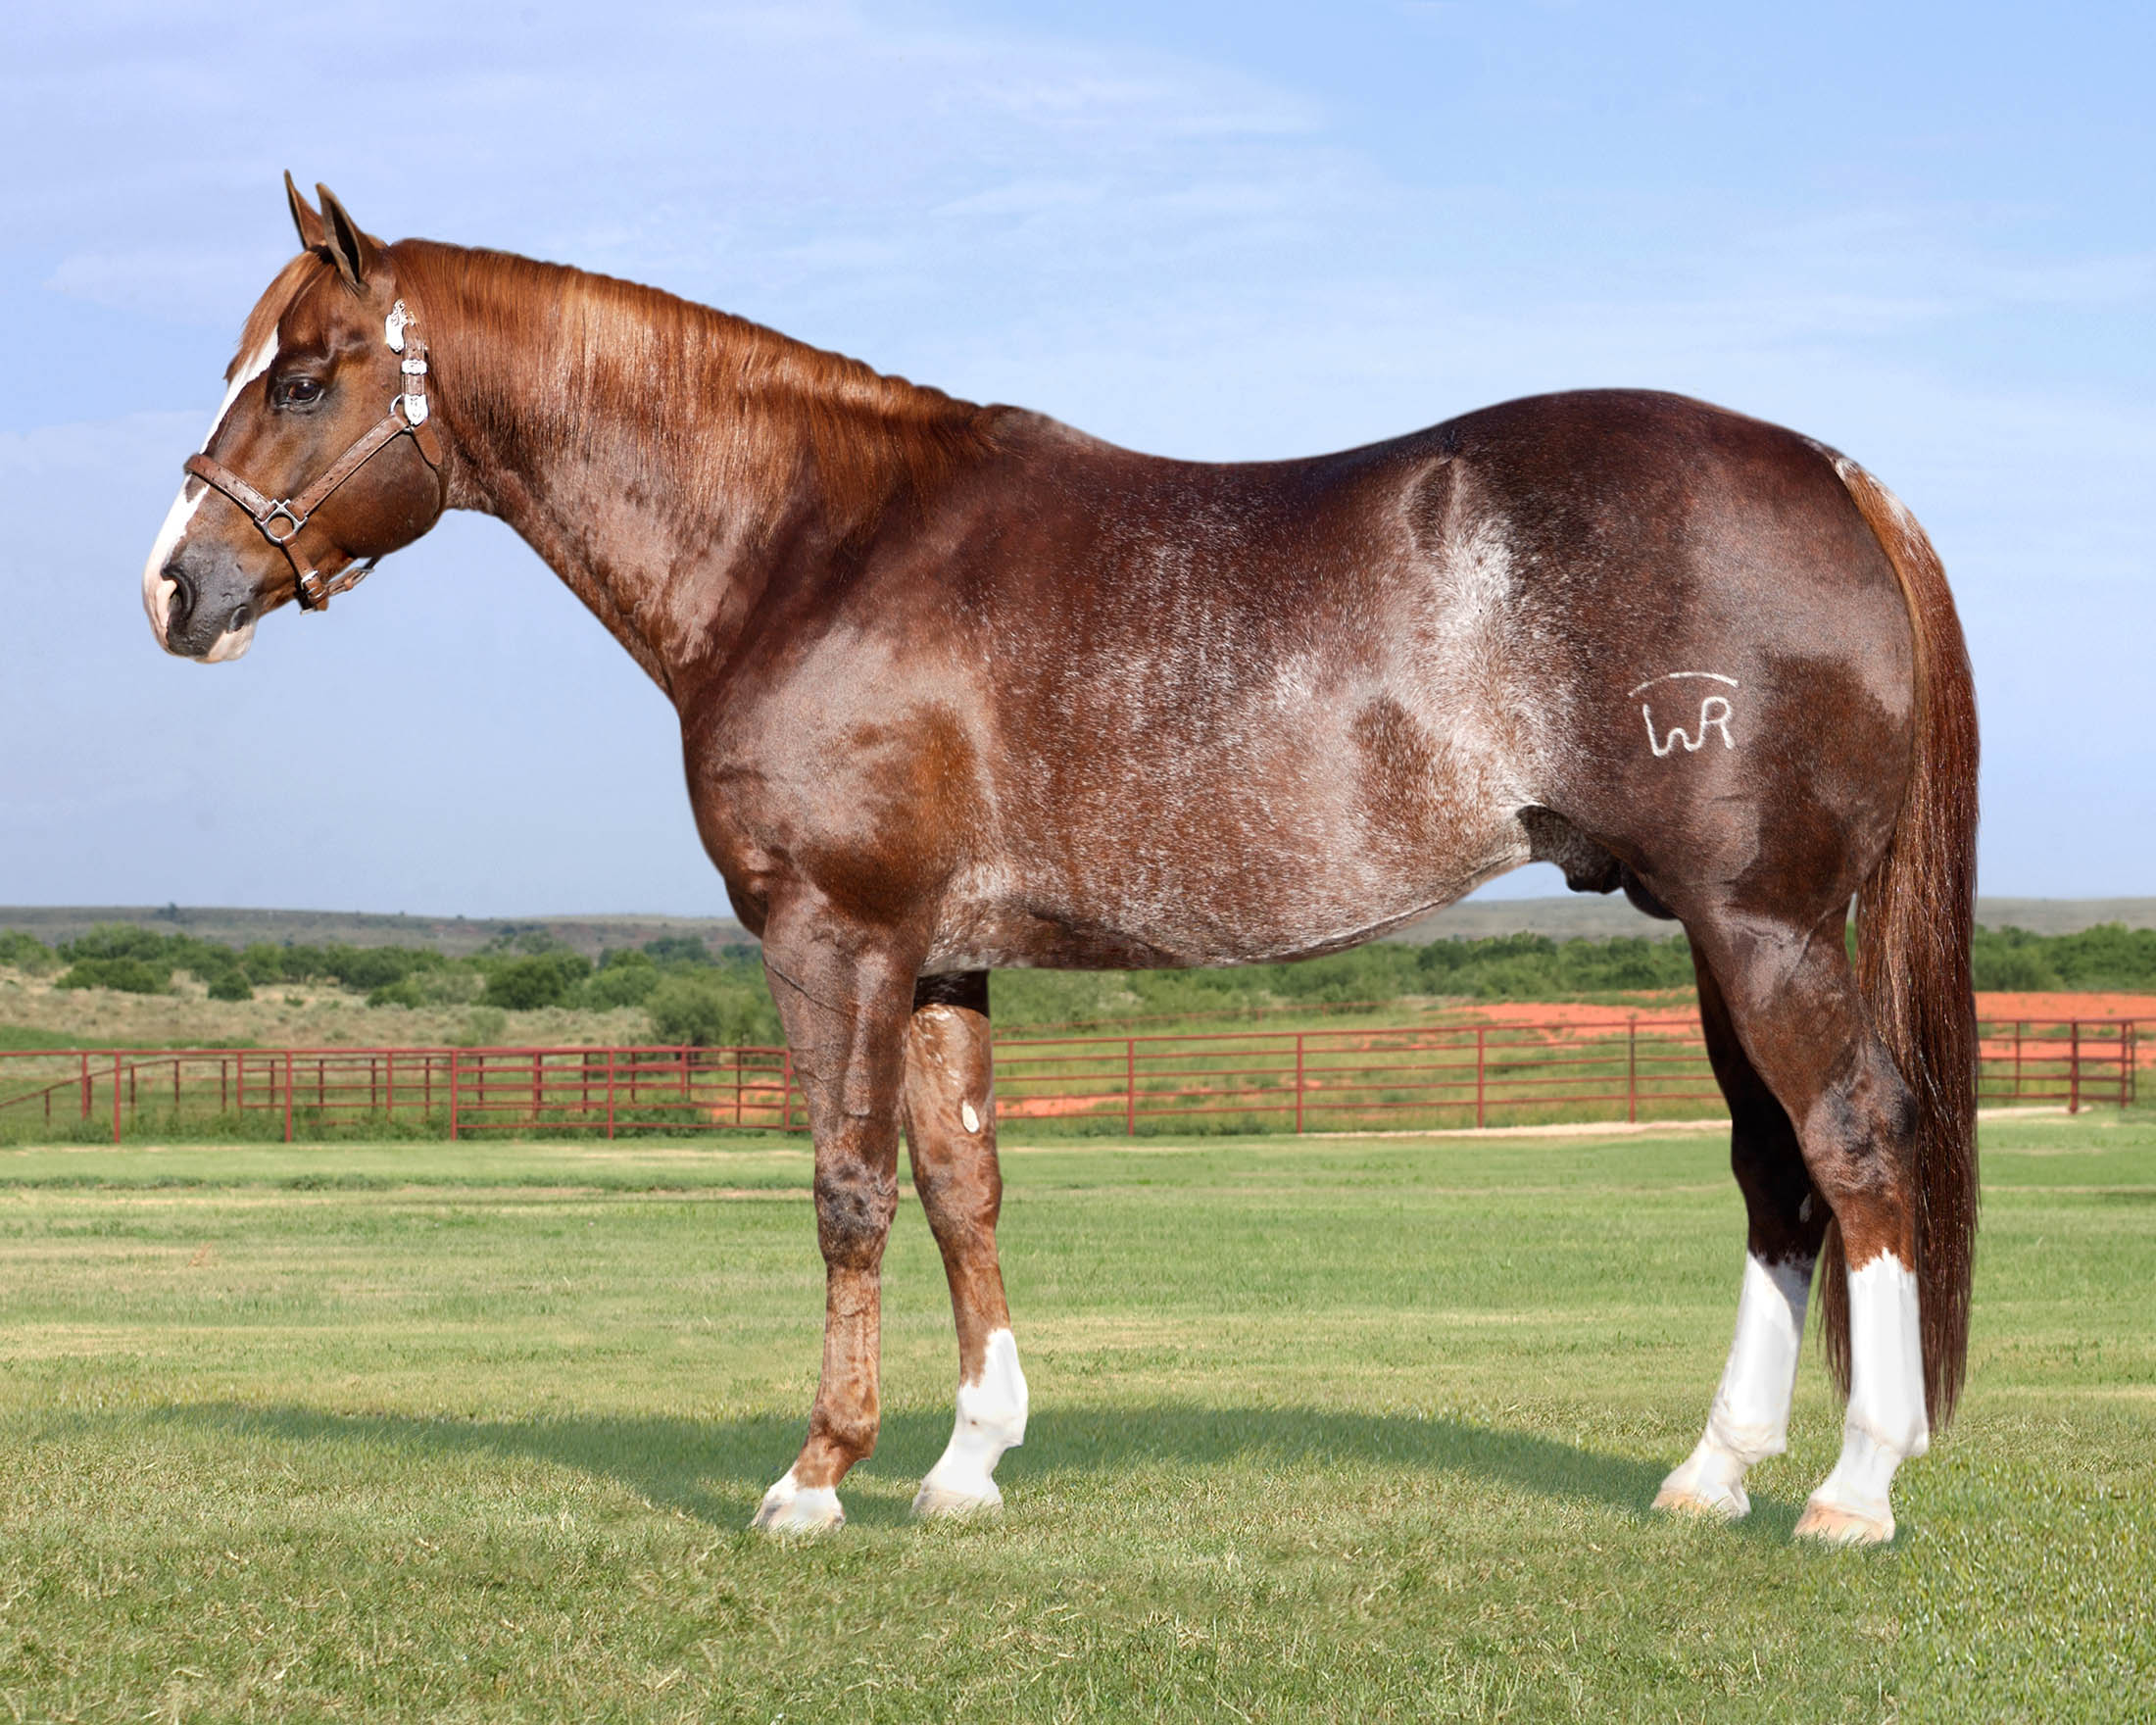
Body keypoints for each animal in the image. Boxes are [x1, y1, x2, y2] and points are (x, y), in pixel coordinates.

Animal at [143, 181, 1975, 1544]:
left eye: (303, 377)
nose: (176, 585)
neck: (812, 545)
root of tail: (1828, 472)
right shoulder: (943, 954)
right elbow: (964, 1185)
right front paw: (966, 1463)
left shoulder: (835, 937)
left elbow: (849, 1189)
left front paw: (816, 1476)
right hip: (1717, 931)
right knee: (1775, 1176)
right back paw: (1712, 1475)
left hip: (1766, 925)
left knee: (1856, 1141)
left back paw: (1858, 1486)